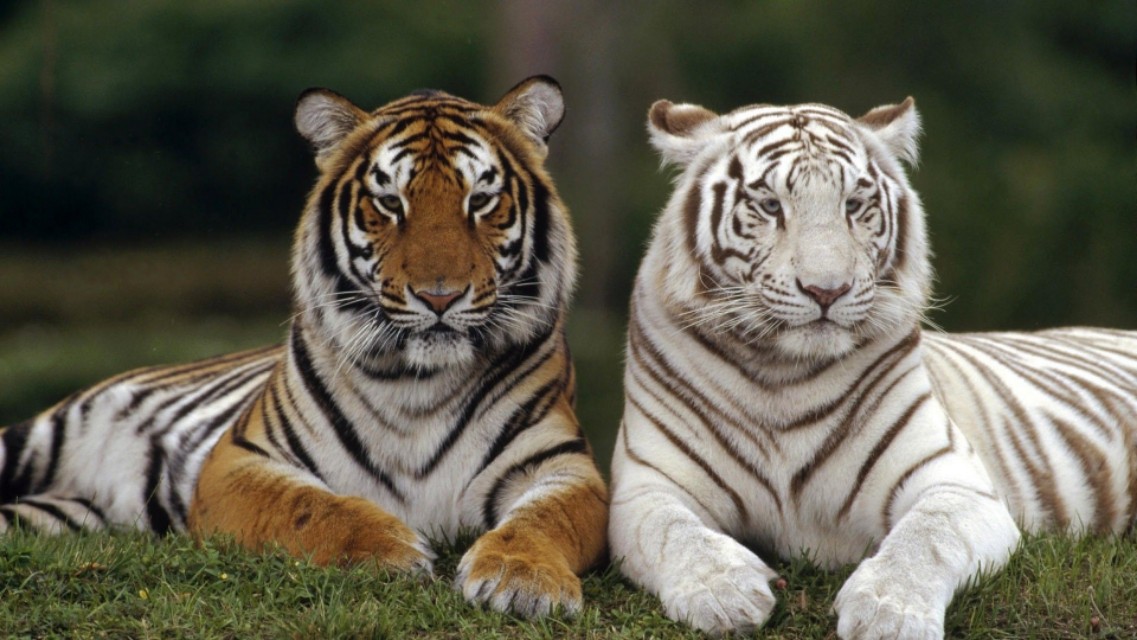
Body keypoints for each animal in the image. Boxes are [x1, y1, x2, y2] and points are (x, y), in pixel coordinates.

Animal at [0, 76, 608, 619]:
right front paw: (393, 549)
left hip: (66, 517)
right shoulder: (239, 460)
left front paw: (522, 579)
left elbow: (545, 519)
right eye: (390, 202)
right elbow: (309, 506)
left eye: (480, 200)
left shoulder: (563, 466)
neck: (420, 382)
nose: (440, 296)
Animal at [607, 95, 1137, 639]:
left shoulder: (955, 482)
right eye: (771, 206)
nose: (826, 290)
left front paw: (889, 612)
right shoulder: (646, 487)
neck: (782, 376)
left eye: (853, 205)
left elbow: (927, 537)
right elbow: (670, 532)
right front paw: (724, 592)